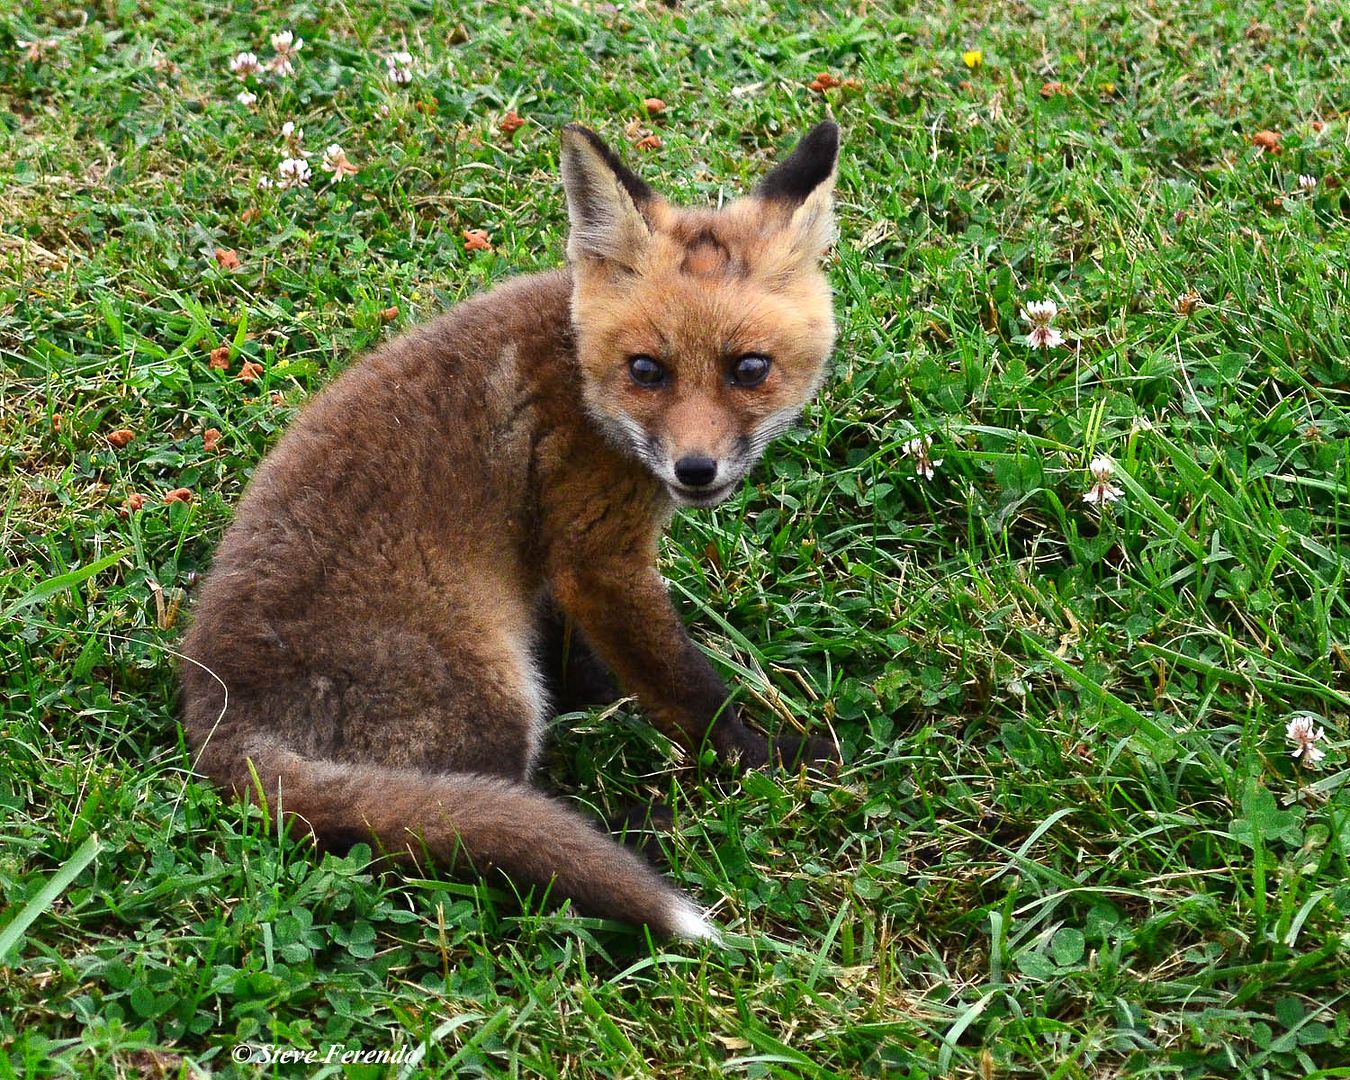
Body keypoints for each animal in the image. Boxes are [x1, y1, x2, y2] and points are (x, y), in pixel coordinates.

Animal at [180, 119, 841, 940]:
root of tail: (220, 721)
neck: (581, 375)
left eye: (749, 367)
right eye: (647, 370)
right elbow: (688, 687)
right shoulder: (596, 552)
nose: (695, 470)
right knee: (463, 824)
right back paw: (628, 832)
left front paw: (603, 691)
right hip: (495, 692)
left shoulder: (554, 561)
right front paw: (764, 763)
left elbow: (586, 650)